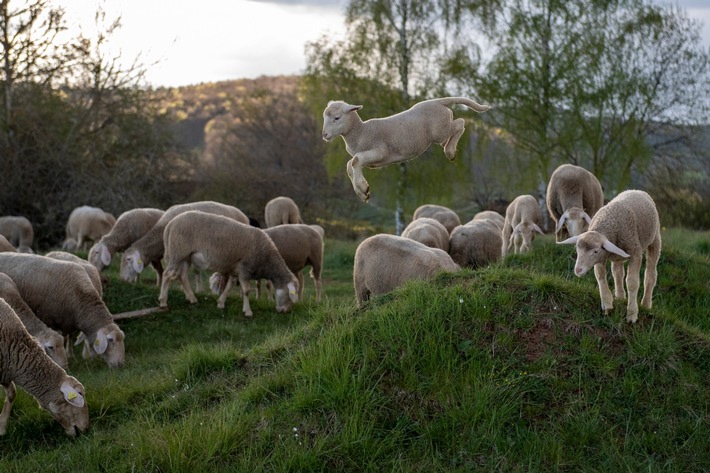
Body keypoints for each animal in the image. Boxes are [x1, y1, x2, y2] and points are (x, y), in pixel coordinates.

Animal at [159, 211, 299, 316]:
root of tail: (171, 224)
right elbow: (246, 290)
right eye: (290, 295)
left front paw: (221, 303)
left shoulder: (235, 269)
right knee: (168, 274)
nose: (286, 311)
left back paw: (192, 299)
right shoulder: (245, 269)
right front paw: (248, 311)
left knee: (182, 276)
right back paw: (163, 302)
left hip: (186, 256)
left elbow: (229, 286)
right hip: (178, 252)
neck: (267, 260)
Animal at [321, 97, 491, 201]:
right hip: (442, 127)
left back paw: (449, 151)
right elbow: (350, 165)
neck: (361, 131)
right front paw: (363, 194)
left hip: (440, 131)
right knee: (458, 124)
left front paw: (363, 188)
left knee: (460, 123)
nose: (324, 135)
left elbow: (355, 161)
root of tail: (439, 101)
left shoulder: (381, 151)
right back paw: (448, 147)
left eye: (336, 118)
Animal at [558, 190, 661, 324]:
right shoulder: (602, 257)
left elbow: (632, 282)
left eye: (595, 251)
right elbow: (600, 276)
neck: (609, 220)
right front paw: (607, 304)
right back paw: (620, 297)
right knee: (617, 273)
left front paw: (632, 313)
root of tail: (635, 190)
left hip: (655, 239)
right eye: (577, 248)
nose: (578, 270)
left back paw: (646, 304)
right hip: (617, 255)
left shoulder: (635, 253)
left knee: (650, 275)